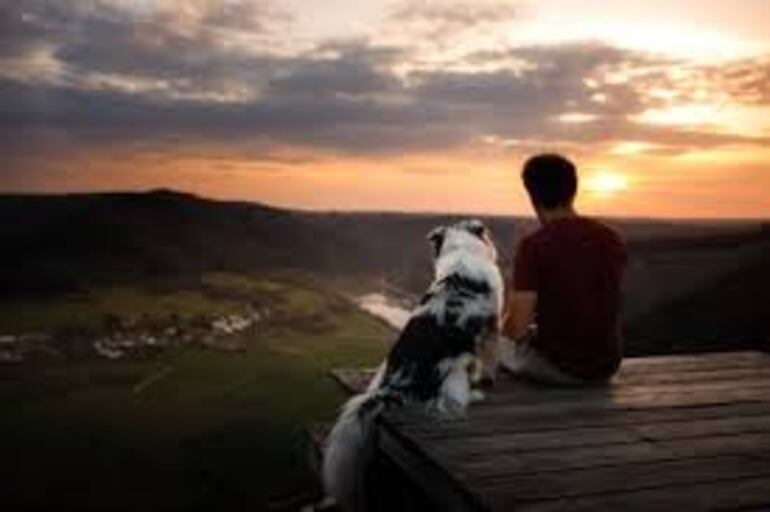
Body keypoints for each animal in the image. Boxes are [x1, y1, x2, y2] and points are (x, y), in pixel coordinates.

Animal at [320, 219, 504, 512]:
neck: (463, 248)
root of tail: (393, 387)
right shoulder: (491, 328)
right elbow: (487, 362)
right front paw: (485, 380)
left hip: (383, 369)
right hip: (453, 370)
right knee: (451, 402)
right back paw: (473, 395)